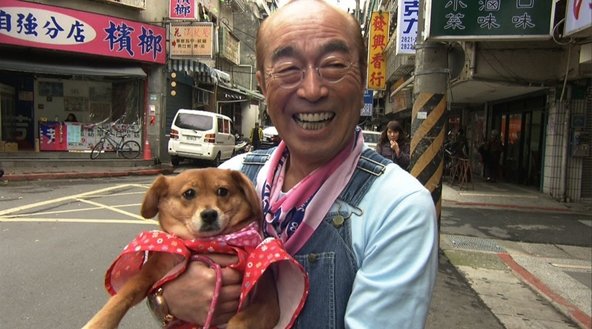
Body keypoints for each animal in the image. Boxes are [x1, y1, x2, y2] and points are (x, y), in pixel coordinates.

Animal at [82, 168, 280, 326]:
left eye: (223, 191)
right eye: (189, 193)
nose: (209, 214)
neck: (207, 246)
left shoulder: (266, 299)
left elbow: (240, 320)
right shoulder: (156, 268)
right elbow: (127, 291)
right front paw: (101, 322)